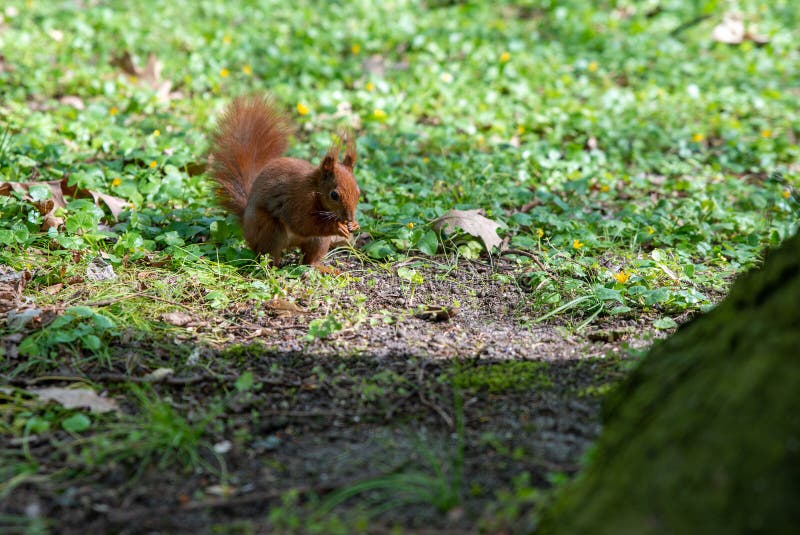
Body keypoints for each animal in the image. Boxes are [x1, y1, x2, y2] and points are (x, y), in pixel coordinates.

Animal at [209, 94, 360, 265]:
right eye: (334, 195)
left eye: (358, 192)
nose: (349, 218)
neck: (314, 188)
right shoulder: (299, 200)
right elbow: (302, 223)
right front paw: (337, 227)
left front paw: (354, 225)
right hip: (270, 230)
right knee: (268, 255)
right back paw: (273, 266)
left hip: (318, 241)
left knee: (310, 259)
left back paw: (321, 267)